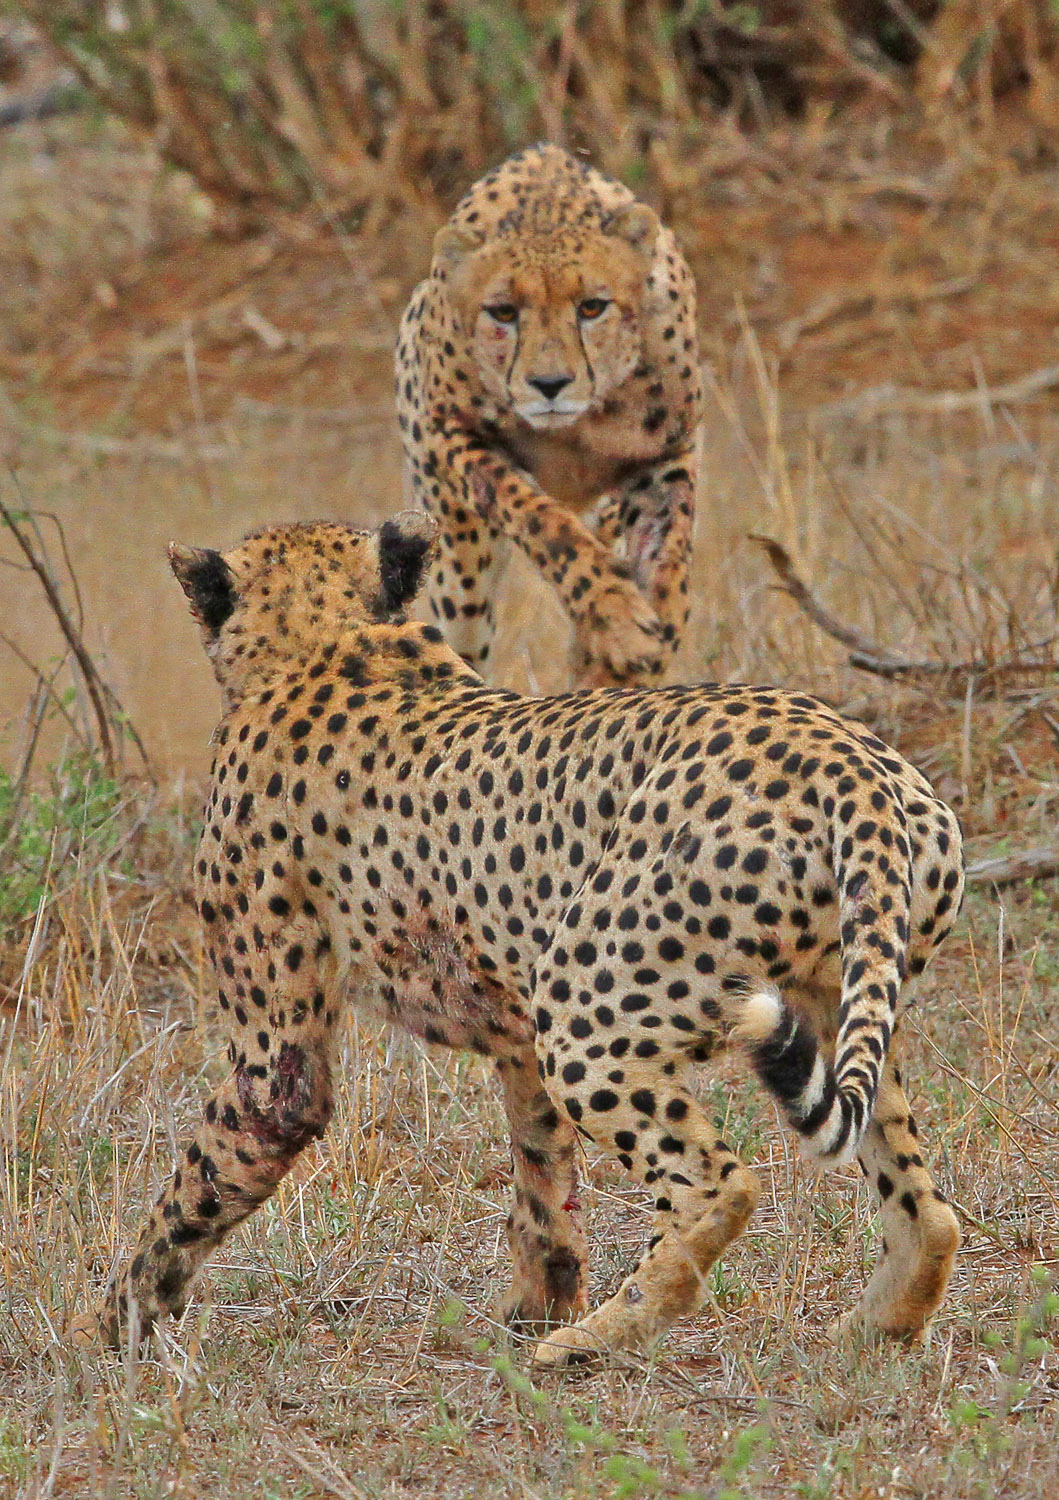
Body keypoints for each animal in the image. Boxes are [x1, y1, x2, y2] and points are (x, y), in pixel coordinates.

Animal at [72, 513, 964, 1367]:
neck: (326, 635)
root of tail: (847, 760)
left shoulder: (277, 1065)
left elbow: (204, 1176)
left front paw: (110, 1324)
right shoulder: (515, 1035)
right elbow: (541, 1174)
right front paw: (538, 1300)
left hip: (590, 1015)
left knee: (719, 1185)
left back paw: (597, 1340)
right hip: (828, 1001)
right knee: (925, 1203)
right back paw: (878, 1323)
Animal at [395, 142, 704, 690]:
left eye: (592, 307)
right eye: (502, 312)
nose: (550, 384)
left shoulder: (666, 451)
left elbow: (667, 553)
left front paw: (646, 638)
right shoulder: (449, 431)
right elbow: (543, 522)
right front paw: (618, 618)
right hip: (459, 560)